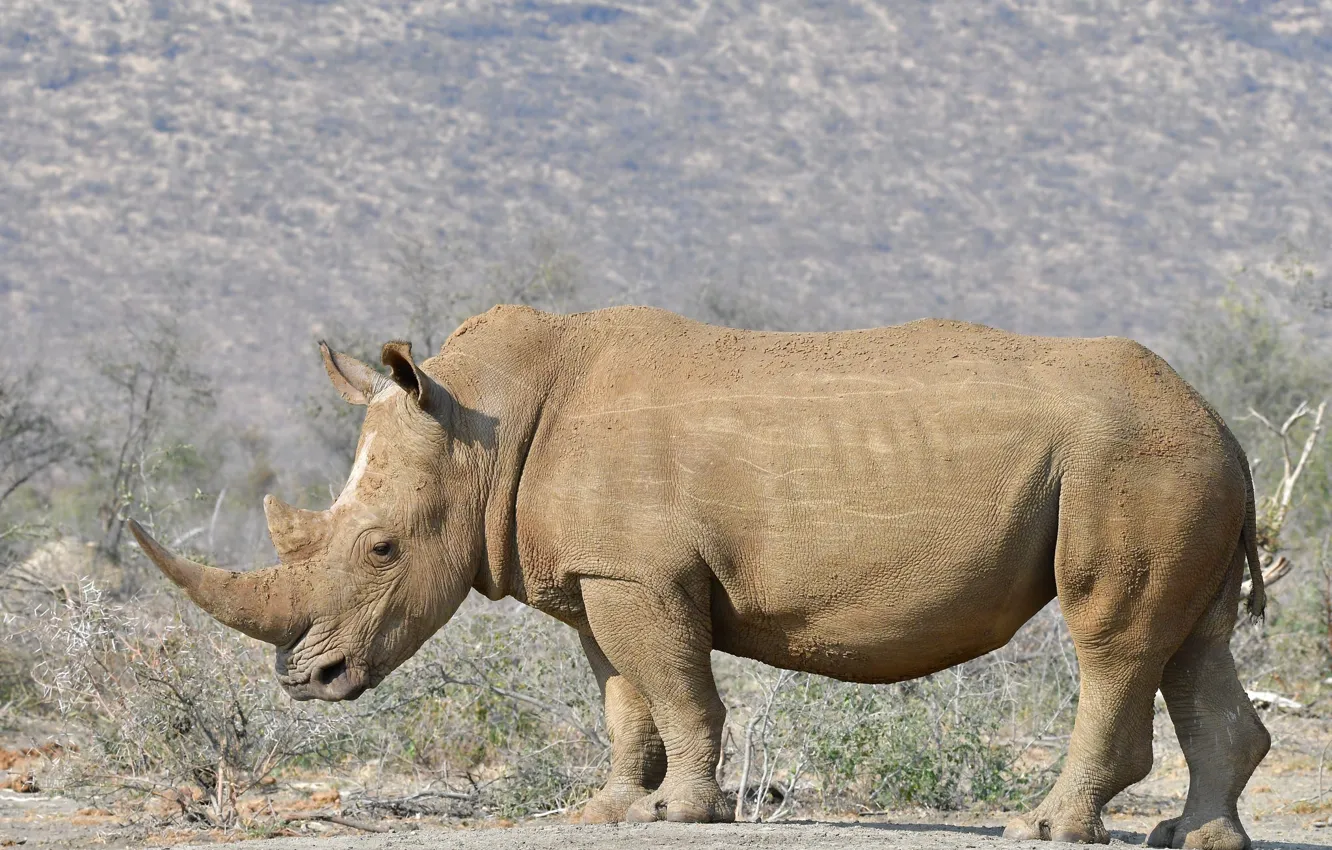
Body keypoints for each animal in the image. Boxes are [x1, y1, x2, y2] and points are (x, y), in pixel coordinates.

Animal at [130, 305, 1269, 849]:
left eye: (379, 550)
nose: (304, 680)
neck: (480, 422)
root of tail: (1220, 415)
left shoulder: (645, 573)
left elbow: (677, 689)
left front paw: (681, 814)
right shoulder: (602, 575)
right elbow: (624, 698)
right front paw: (605, 812)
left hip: (1135, 459)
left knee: (1111, 639)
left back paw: (1041, 829)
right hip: (1180, 458)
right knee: (1193, 644)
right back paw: (1193, 838)